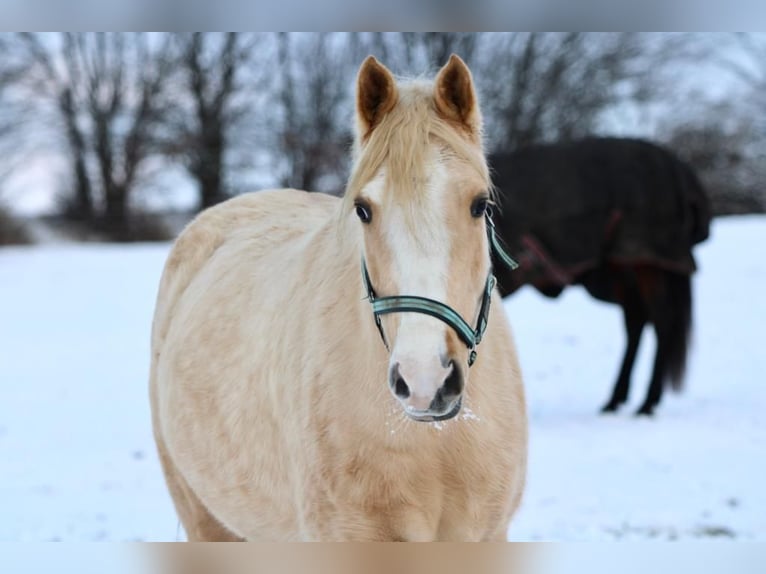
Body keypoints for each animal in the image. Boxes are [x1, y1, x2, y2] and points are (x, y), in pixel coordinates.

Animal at [492, 140, 712, 418]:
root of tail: (681, 170)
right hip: (621, 268)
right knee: (637, 322)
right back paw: (616, 399)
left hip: (645, 262)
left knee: (661, 321)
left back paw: (647, 403)